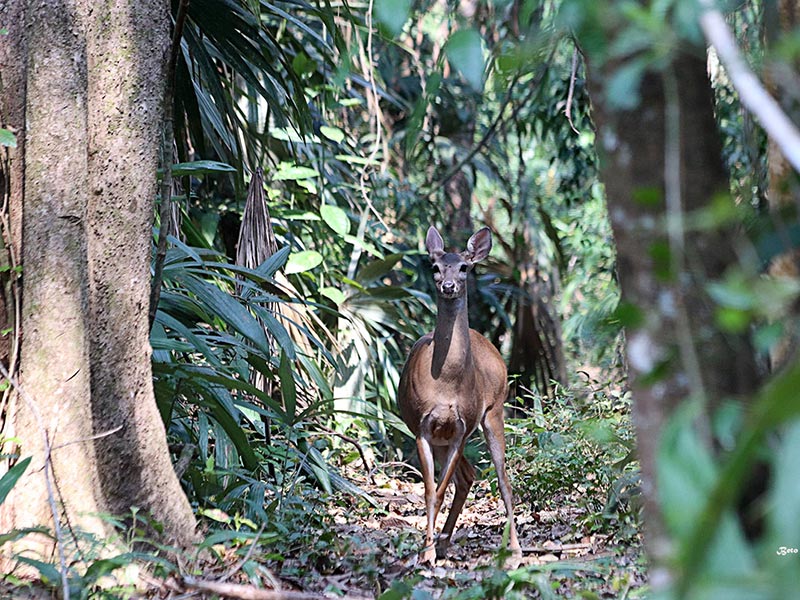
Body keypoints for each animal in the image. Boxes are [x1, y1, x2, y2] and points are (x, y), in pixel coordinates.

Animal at [396, 225, 520, 564]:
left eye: (464, 267)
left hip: (494, 411)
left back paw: (515, 550)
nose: (448, 285)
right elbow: (430, 492)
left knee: (503, 479)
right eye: (435, 266)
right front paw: (427, 550)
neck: (446, 384)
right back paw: (444, 541)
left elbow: (439, 491)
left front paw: (428, 551)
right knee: (467, 475)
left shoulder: (462, 428)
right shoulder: (423, 428)